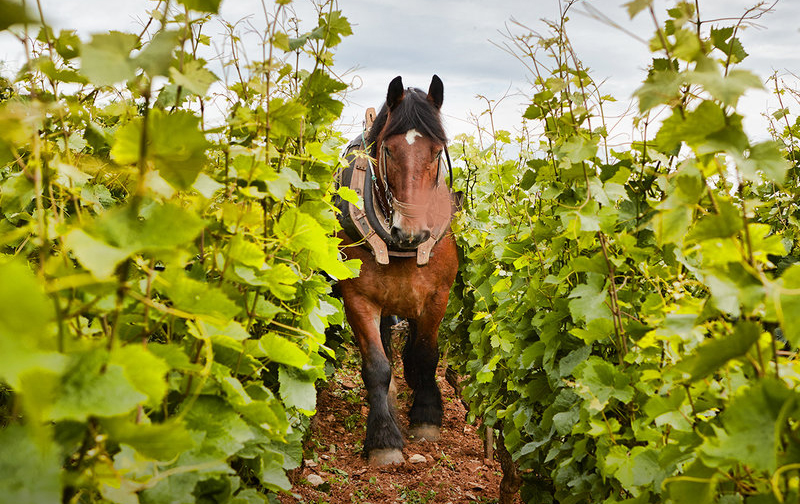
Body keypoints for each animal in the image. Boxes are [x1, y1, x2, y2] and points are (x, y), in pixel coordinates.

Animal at [334, 74, 460, 464]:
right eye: (388, 151)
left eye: (436, 151)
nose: (411, 232)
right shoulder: (357, 298)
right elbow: (376, 365)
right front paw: (383, 438)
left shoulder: (437, 296)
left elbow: (425, 354)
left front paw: (427, 415)